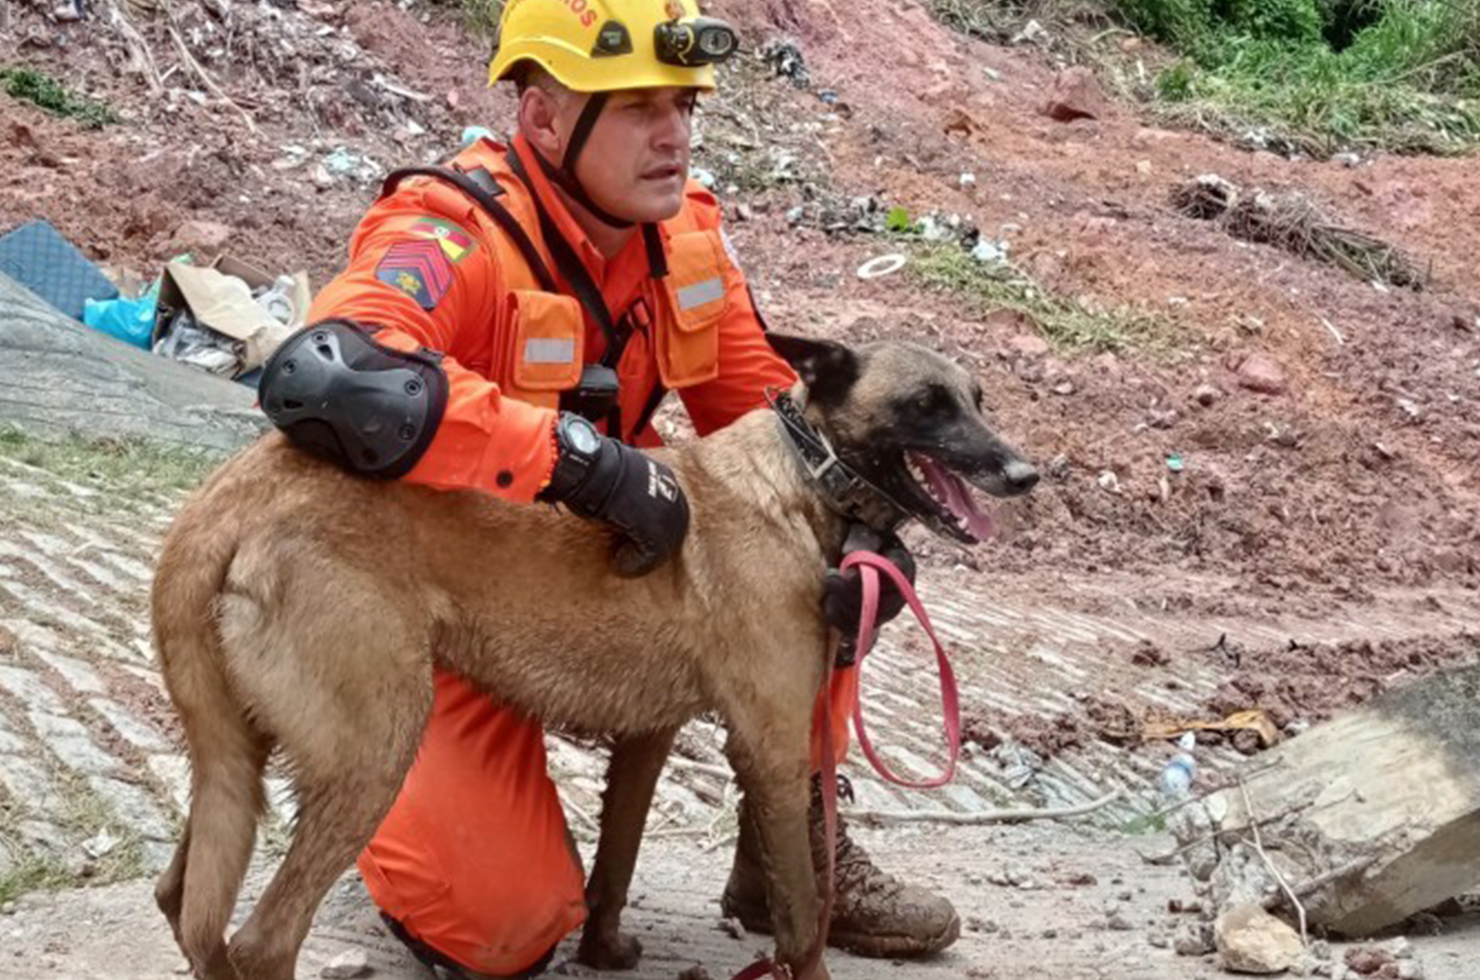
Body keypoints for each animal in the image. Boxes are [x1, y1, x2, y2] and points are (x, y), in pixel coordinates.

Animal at [147, 334, 1030, 977]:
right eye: (926, 405)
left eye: (979, 401)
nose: (1025, 472)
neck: (801, 476)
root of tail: (229, 501)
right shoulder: (774, 749)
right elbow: (802, 917)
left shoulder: (649, 738)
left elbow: (615, 863)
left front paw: (604, 951)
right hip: (374, 756)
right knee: (261, 941)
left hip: (238, 762)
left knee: (180, 899)